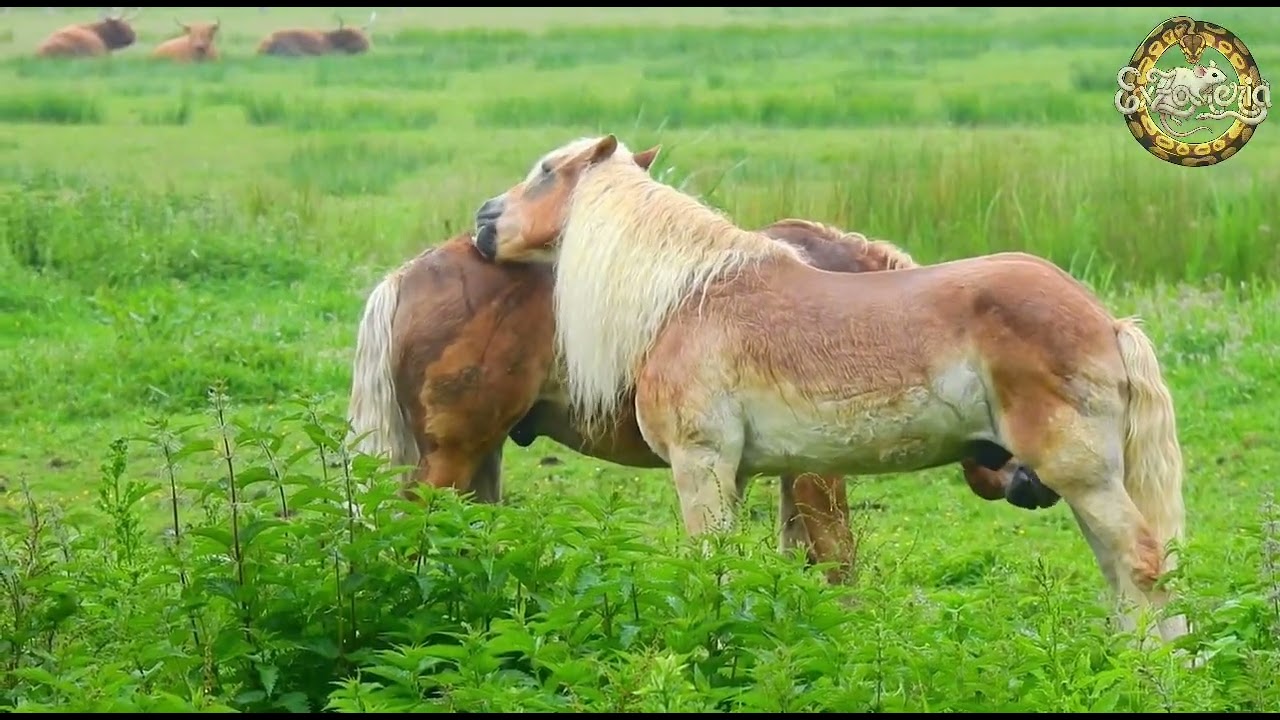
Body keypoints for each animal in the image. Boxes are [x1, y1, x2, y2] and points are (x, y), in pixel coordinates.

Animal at [345, 148, 1057, 585]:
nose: (1037, 482)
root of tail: (410, 276)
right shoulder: (815, 471)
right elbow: (837, 561)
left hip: (478, 458)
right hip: (449, 459)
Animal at [468, 133, 1189, 643]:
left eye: (545, 171)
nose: (483, 220)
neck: (686, 298)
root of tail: (1106, 321)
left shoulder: (701, 464)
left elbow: (713, 567)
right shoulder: (746, 473)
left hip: (1079, 472)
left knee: (1142, 564)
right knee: (1124, 572)